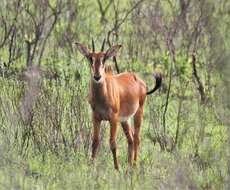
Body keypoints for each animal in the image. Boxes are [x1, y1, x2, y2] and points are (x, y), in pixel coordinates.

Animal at [75, 39, 162, 170]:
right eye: (91, 58)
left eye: (104, 58)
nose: (97, 76)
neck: (102, 96)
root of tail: (139, 81)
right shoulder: (96, 118)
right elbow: (95, 142)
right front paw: (91, 167)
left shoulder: (113, 119)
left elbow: (113, 143)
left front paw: (117, 168)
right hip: (125, 120)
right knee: (130, 139)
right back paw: (129, 166)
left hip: (138, 113)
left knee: (137, 138)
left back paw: (134, 166)